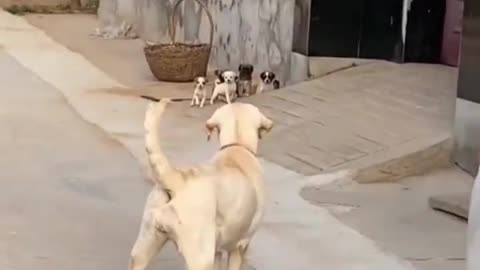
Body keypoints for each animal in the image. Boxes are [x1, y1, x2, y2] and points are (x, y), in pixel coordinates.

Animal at [128, 100, 274, 270]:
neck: (237, 145)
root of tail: (176, 178)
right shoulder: (240, 246)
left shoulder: (218, 250)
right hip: (200, 258)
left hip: (143, 249)